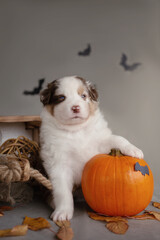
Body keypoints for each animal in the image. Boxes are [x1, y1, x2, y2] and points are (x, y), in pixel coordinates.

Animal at [40, 75, 144, 221]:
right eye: (61, 97)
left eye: (83, 96)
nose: (76, 107)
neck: (76, 130)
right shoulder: (58, 161)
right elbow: (62, 190)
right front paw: (62, 212)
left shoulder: (100, 141)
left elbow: (117, 138)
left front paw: (134, 150)